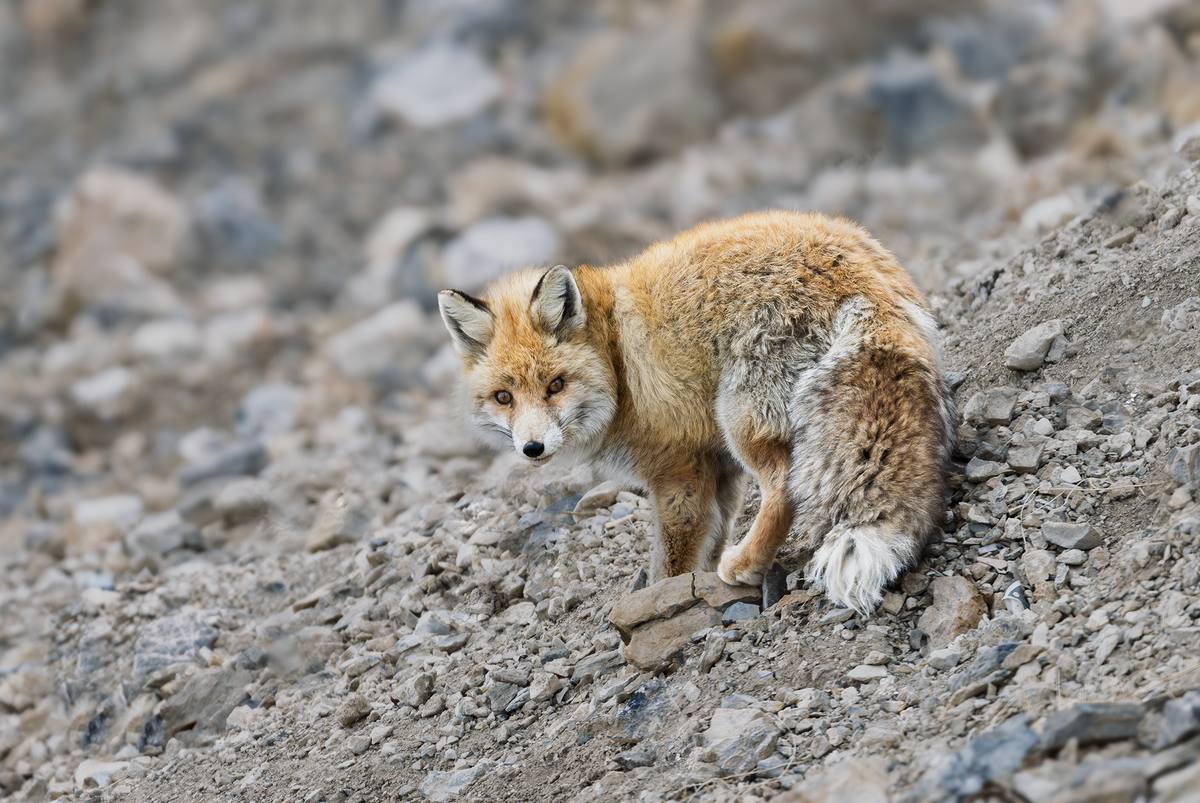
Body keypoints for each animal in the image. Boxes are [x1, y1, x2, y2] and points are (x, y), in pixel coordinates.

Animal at [437, 211, 955, 614]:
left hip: (741, 422)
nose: (532, 448)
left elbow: (673, 559)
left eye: (555, 385)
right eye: (504, 396)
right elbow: (710, 537)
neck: (617, 362)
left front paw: (666, 596)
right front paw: (696, 584)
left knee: (784, 488)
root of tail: (854, 273)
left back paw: (744, 567)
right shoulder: (716, 465)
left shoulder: (678, 471)